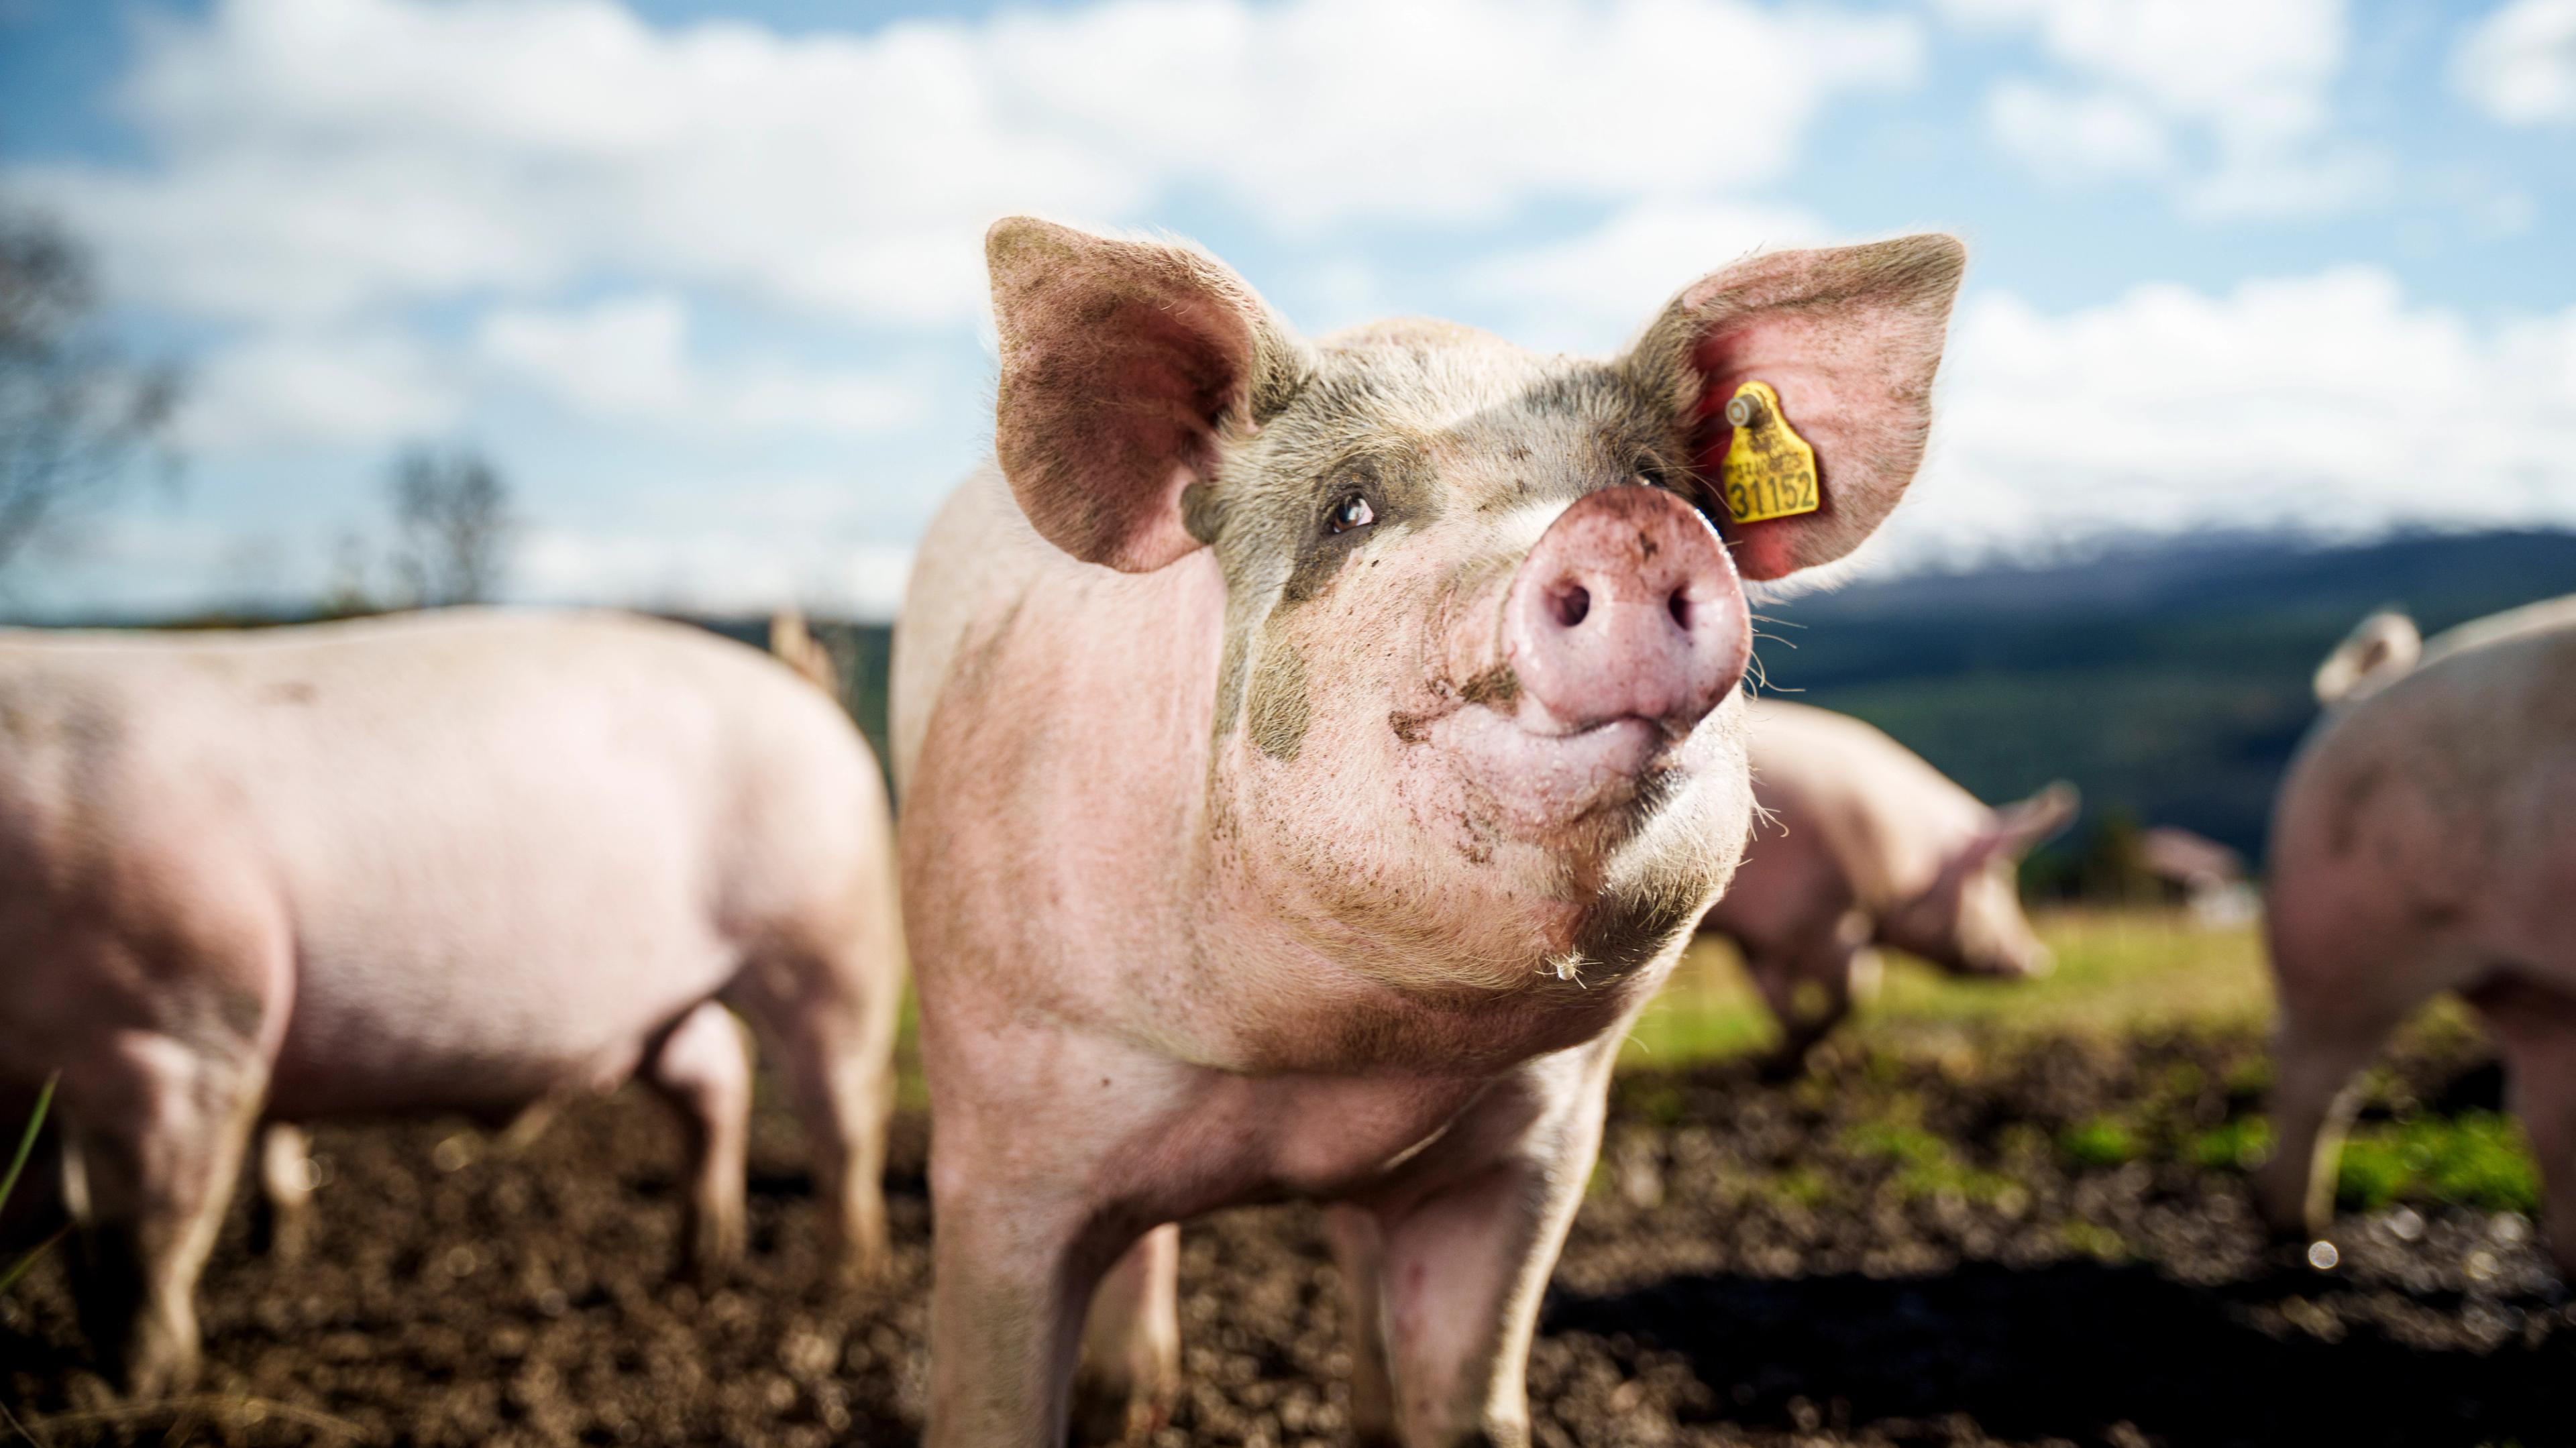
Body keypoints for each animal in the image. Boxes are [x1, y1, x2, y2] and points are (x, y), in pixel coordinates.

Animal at [0, 609, 903, 1395]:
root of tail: (806, 691)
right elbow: (44, 1209)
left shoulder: (174, 1028)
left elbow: (144, 1233)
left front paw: (142, 1386)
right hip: (670, 997)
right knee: (718, 1071)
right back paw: (697, 1264)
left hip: (832, 935)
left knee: (844, 1105)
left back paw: (844, 1274)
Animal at [892, 217, 1963, 1446]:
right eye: (1348, 508)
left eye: (1654, 479)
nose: (1631, 526)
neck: (1333, 1073)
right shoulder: (999, 1144)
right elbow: (995, 1399)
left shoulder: (1535, 1153)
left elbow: (1470, 1401)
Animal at [1699, 698, 2076, 1072]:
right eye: (1999, 875)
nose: (2039, 962)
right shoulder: (1831, 916)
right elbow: (1856, 991)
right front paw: (1808, 1061)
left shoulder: (1763, 937)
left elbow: (1775, 998)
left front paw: (1801, 1060)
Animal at [2257, 595, 2576, 1273]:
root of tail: (2362, 687)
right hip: (2343, 943)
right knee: (2313, 1073)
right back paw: (2301, 1235)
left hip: (2533, 989)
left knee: (2546, 1110)